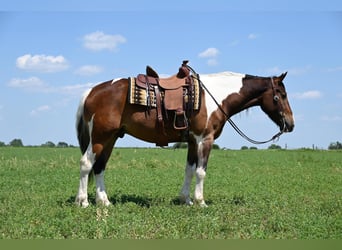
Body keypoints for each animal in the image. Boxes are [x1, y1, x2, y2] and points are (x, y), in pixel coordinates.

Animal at [74, 64, 294, 207]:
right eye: (281, 95)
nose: (290, 124)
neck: (215, 96)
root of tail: (92, 91)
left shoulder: (192, 141)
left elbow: (189, 170)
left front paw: (185, 200)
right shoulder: (205, 139)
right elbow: (201, 171)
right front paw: (200, 202)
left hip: (110, 139)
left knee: (100, 167)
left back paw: (104, 202)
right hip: (100, 137)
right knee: (86, 163)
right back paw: (82, 201)